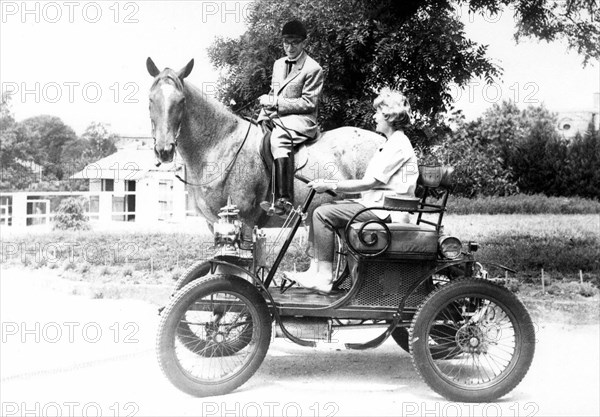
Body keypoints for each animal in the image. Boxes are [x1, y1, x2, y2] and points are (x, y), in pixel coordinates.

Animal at [146, 57, 382, 234]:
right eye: (151, 100)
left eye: (181, 101)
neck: (219, 145)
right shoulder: (214, 224)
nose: (164, 150)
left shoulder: (243, 222)